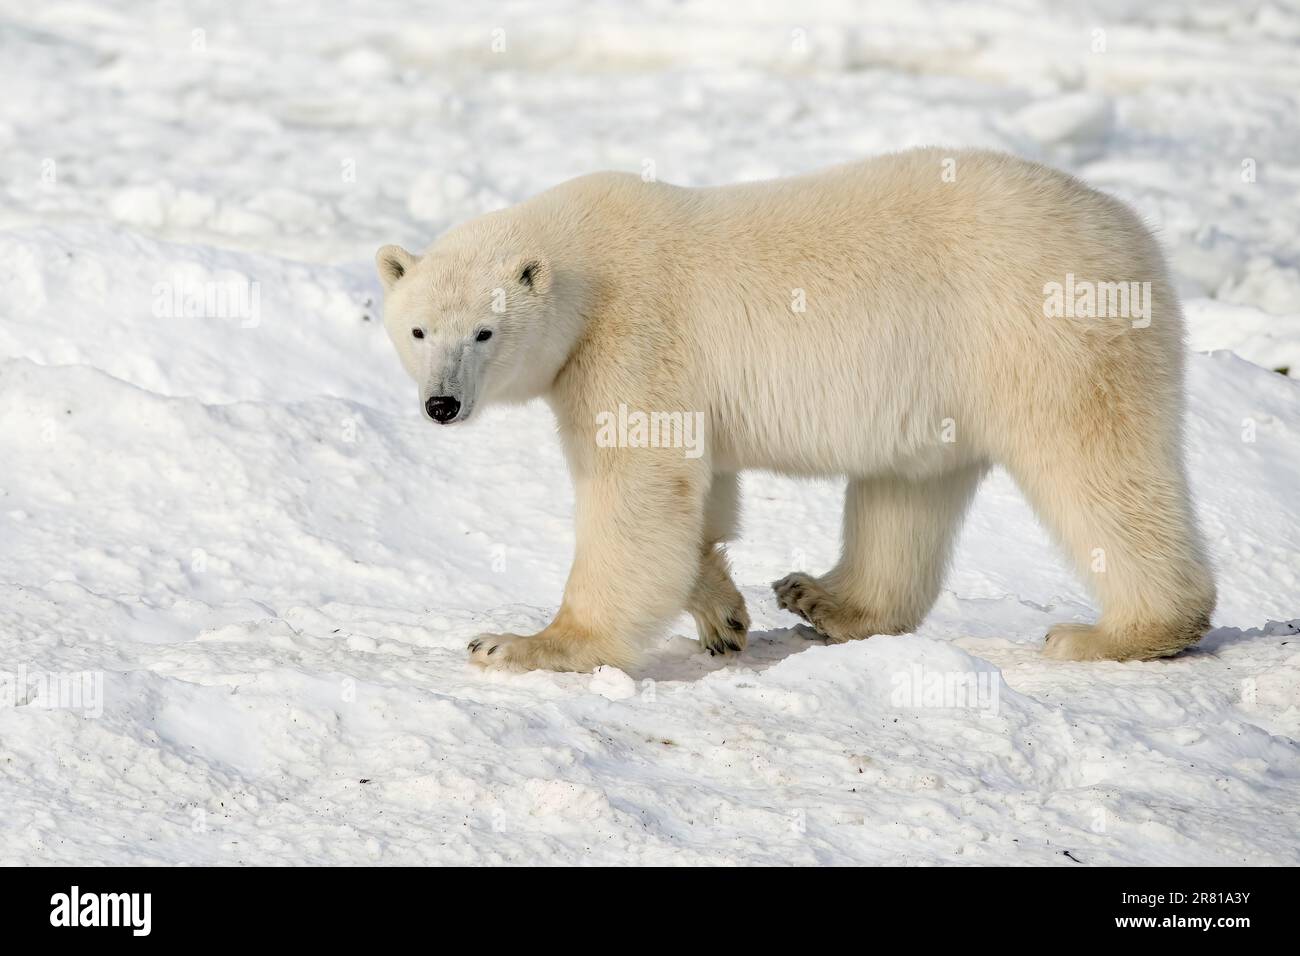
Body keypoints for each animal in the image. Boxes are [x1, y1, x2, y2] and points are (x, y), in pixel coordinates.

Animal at [377, 147, 1216, 671]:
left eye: (484, 331)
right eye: (417, 329)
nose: (442, 403)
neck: (588, 264)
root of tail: (1134, 233)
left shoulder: (632, 339)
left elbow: (636, 490)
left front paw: (519, 643)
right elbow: (699, 497)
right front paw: (723, 614)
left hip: (1046, 336)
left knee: (1096, 466)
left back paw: (1118, 632)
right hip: (943, 375)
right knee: (908, 491)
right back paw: (825, 597)